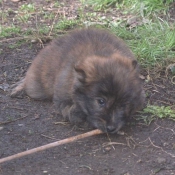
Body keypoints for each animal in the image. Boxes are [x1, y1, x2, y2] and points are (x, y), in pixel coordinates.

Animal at [10, 28, 145, 133]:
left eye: (123, 104)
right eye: (101, 101)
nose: (111, 128)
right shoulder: (62, 101)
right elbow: (72, 112)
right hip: (36, 88)